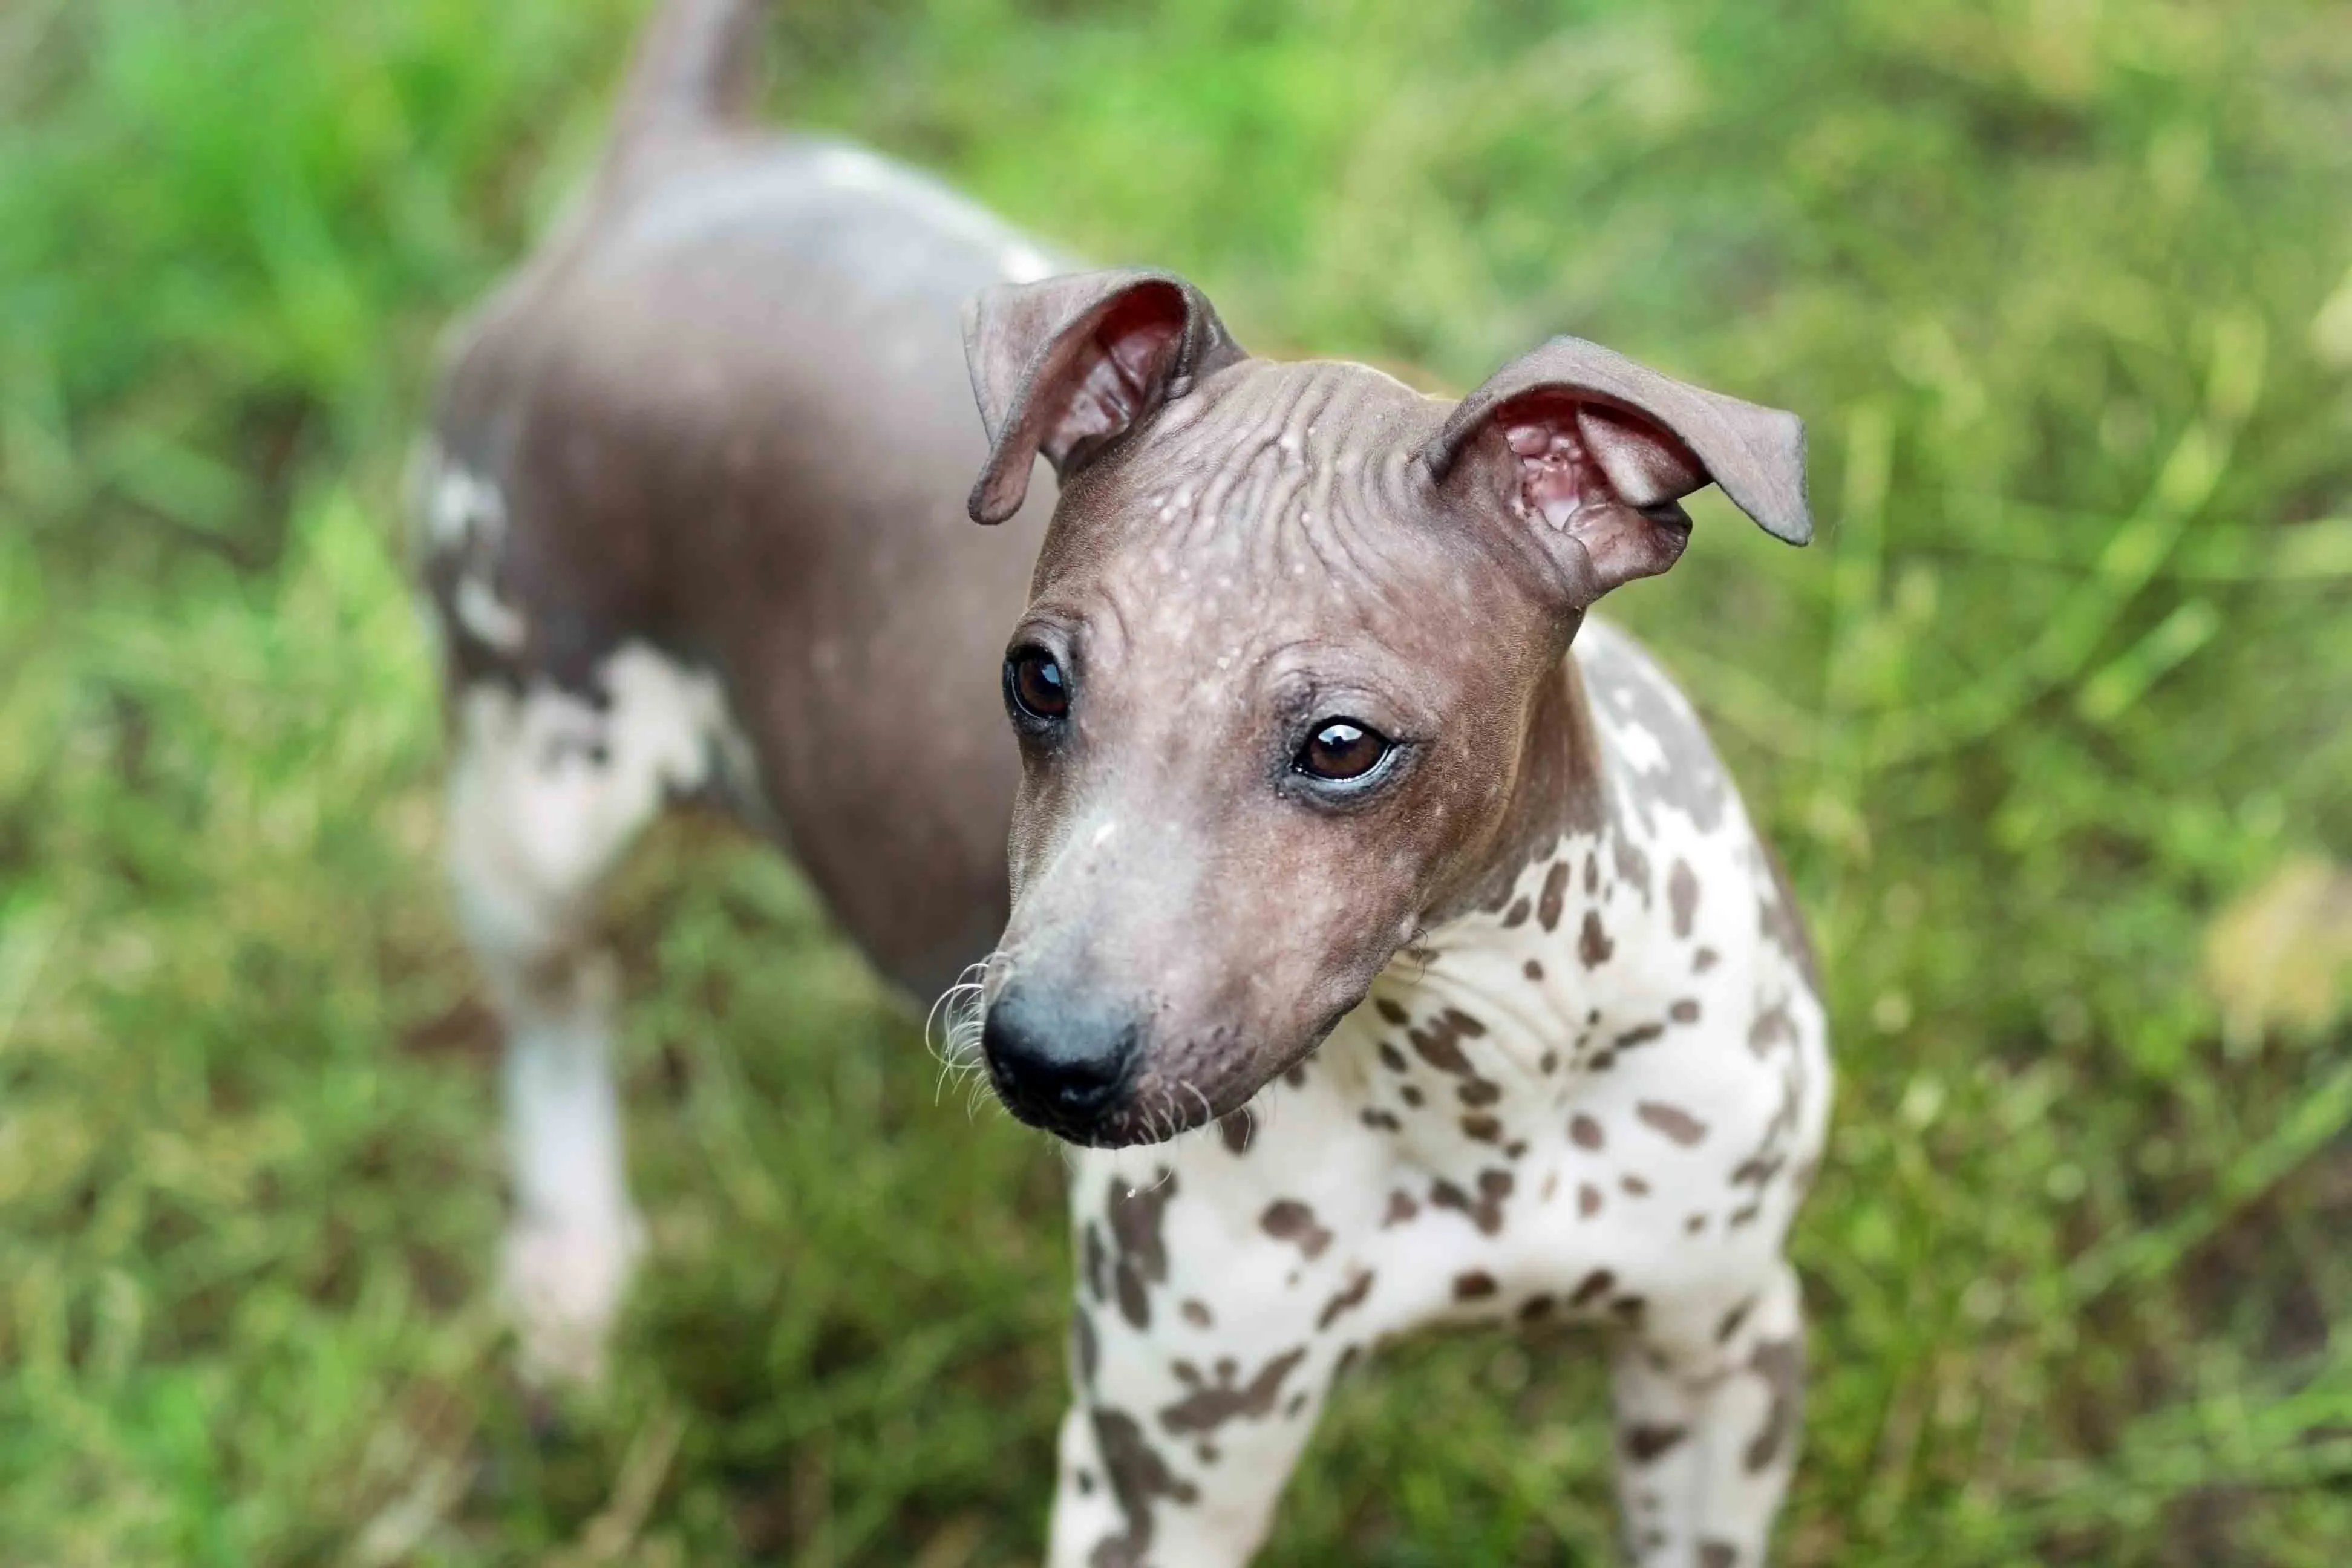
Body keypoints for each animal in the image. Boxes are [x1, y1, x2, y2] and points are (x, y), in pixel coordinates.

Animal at [423, 3, 1834, 1568]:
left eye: (1342, 745)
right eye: (1037, 681)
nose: (1043, 1057)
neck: (1472, 1075)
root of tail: (681, 164)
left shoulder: (1722, 1351)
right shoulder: (1163, 1464)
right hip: (534, 791)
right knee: (553, 1013)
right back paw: (571, 1273)